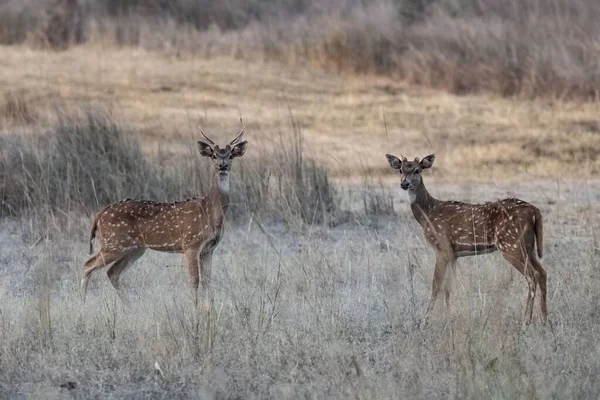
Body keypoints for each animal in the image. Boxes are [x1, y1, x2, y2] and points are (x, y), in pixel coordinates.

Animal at [384, 153, 548, 324]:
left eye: (417, 170)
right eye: (400, 170)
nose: (404, 183)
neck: (427, 214)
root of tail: (535, 211)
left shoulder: (442, 246)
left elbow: (436, 285)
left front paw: (426, 320)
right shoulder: (453, 254)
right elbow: (448, 287)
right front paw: (447, 317)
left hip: (510, 244)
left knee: (531, 276)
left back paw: (526, 321)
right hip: (528, 246)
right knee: (542, 273)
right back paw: (544, 319)